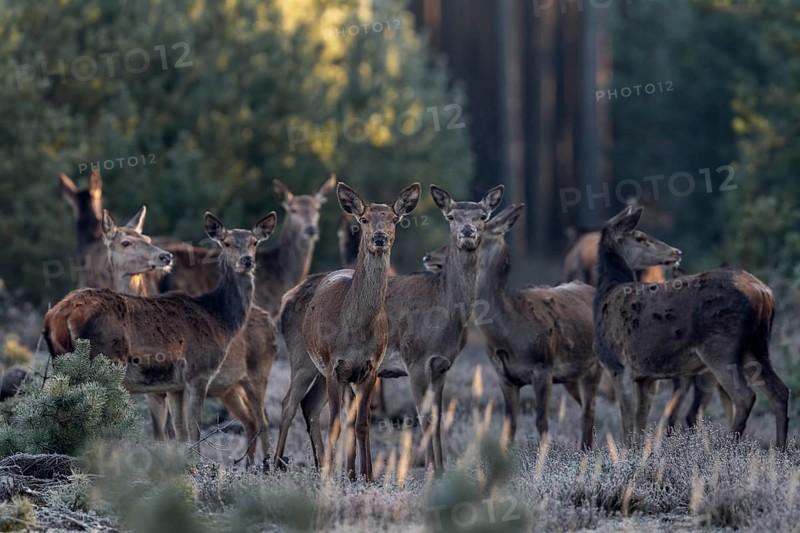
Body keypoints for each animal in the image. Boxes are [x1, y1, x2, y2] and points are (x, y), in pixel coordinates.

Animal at [43, 211, 277, 444]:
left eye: (254, 242)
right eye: (226, 243)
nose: (247, 261)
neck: (219, 319)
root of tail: (58, 315)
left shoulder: (174, 386)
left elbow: (180, 433)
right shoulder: (198, 372)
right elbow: (194, 432)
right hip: (105, 360)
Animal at [274, 185, 504, 475]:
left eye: (483, 216)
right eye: (451, 216)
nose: (467, 232)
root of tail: (285, 299)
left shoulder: (441, 365)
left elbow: (437, 417)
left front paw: (440, 469)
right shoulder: (416, 360)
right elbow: (424, 417)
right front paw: (432, 470)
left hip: (323, 371)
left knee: (310, 406)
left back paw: (321, 466)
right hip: (301, 357)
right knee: (289, 403)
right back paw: (274, 465)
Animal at [472, 204, 601, 448]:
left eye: (475, 234)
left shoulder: (543, 368)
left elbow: (542, 421)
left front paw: (544, 456)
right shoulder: (504, 377)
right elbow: (509, 426)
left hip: (595, 366)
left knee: (593, 409)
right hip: (571, 377)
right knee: (588, 411)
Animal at [594, 206, 789, 449]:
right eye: (639, 237)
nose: (676, 252)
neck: (604, 295)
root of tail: (765, 293)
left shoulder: (617, 365)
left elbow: (628, 425)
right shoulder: (645, 375)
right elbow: (640, 422)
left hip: (720, 348)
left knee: (745, 396)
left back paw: (728, 446)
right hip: (756, 347)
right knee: (780, 391)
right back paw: (780, 450)